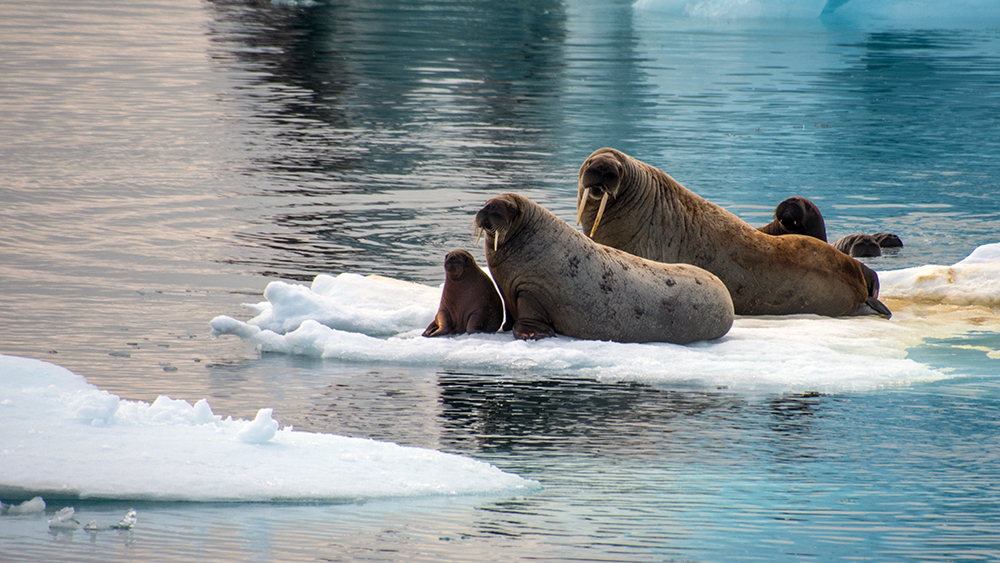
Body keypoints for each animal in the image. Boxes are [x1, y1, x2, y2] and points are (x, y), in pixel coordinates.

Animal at [472, 193, 732, 344]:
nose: (487, 209)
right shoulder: (507, 290)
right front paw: (505, 328)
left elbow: (529, 315)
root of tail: (727, 294)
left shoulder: (531, 289)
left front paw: (530, 334)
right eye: (486, 203)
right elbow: (509, 312)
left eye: (508, 208)